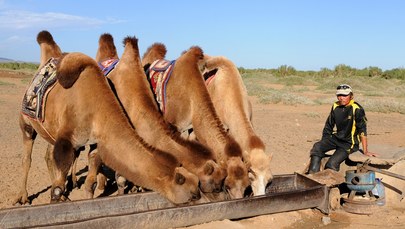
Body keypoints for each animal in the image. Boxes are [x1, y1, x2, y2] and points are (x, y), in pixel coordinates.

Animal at [15, 32, 201, 204]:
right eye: (191, 191)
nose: (200, 195)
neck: (97, 108)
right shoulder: (66, 141)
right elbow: (57, 188)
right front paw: (59, 199)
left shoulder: (94, 142)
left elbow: (90, 181)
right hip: (27, 125)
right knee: (27, 158)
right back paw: (23, 197)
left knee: (48, 155)